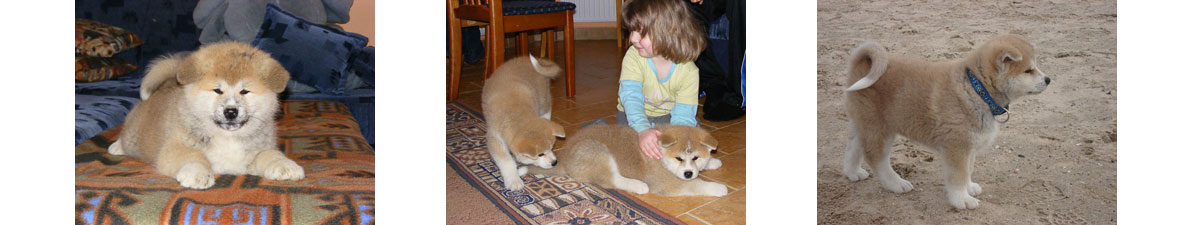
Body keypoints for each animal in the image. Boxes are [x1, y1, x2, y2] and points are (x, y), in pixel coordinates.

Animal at [108, 41, 304, 187]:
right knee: (126, 138)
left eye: (244, 91)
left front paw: (286, 165)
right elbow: (195, 155)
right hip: (134, 136)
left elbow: (270, 154)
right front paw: (198, 174)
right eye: (217, 90)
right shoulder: (172, 149)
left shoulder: (256, 153)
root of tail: (168, 84)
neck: (227, 137)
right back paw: (116, 147)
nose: (231, 111)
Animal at [482, 55, 566, 190]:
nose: (555, 162)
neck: (515, 112)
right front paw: (513, 180)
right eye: (540, 154)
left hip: (543, 99)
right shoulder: (494, 138)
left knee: (546, 111)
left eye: (552, 147)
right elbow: (506, 160)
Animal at [528, 125, 729, 196]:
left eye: (695, 157)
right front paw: (718, 188)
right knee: (612, 180)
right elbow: (697, 185)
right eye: (678, 158)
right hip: (598, 152)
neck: (661, 156)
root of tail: (566, 158)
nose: (688, 173)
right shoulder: (668, 183)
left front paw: (712, 162)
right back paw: (638, 185)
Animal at [844, 34, 1051, 210]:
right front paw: (962, 199)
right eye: (1028, 70)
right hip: (880, 127)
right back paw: (895, 183)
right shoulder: (956, 146)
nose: (1048, 79)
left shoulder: (969, 146)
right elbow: (958, 176)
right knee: (876, 158)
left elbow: (968, 169)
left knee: (854, 147)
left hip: (863, 122)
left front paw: (969, 187)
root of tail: (862, 62)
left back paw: (853, 173)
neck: (976, 89)